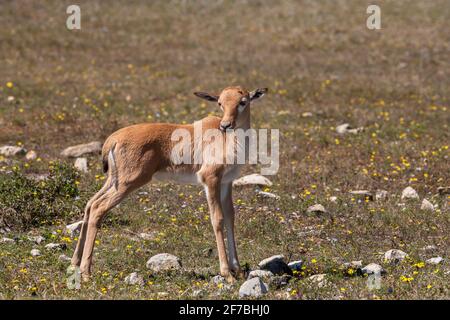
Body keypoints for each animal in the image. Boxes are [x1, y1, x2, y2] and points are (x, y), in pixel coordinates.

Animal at [70, 85, 268, 282]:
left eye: (243, 101)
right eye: (220, 103)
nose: (225, 125)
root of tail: (113, 139)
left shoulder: (226, 182)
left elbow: (230, 217)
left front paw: (238, 270)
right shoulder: (210, 180)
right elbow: (217, 219)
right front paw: (227, 274)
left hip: (113, 181)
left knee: (90, 203)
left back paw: (75, 263)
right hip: (128, 184)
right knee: (98, 208)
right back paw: (86, 272)